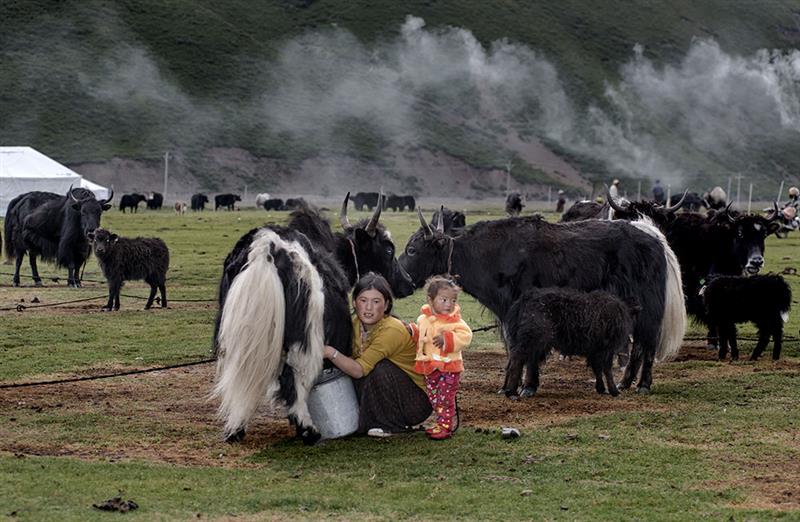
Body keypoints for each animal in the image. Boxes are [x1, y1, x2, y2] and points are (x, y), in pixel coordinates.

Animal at [504, 286, 636, 396]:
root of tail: (524, 300)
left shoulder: (595, 350)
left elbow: (597, 369)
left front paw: (601, 389)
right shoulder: (606, 348)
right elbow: (607, 370)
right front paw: (614, 391)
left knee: (517, 359)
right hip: (531, 339)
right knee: (517, 359)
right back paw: (511, 392)